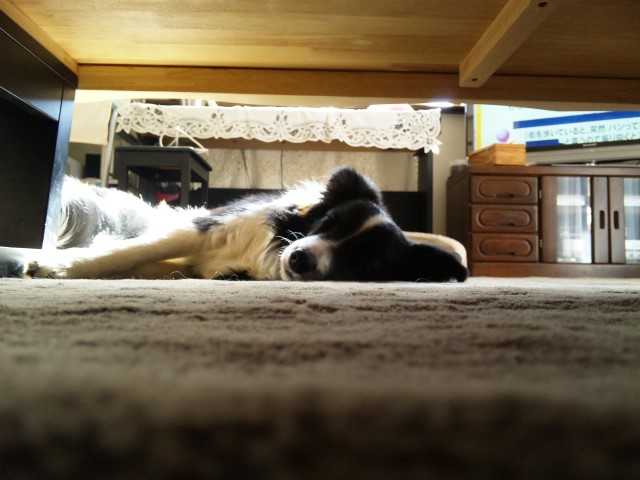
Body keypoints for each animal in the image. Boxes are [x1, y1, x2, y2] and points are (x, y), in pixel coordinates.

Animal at [24, 167, 468, 282]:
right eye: (328, 222)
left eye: (365, 261)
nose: (300, 259)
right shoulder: (205, 228)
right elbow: (133, 252)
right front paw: (57, 267)